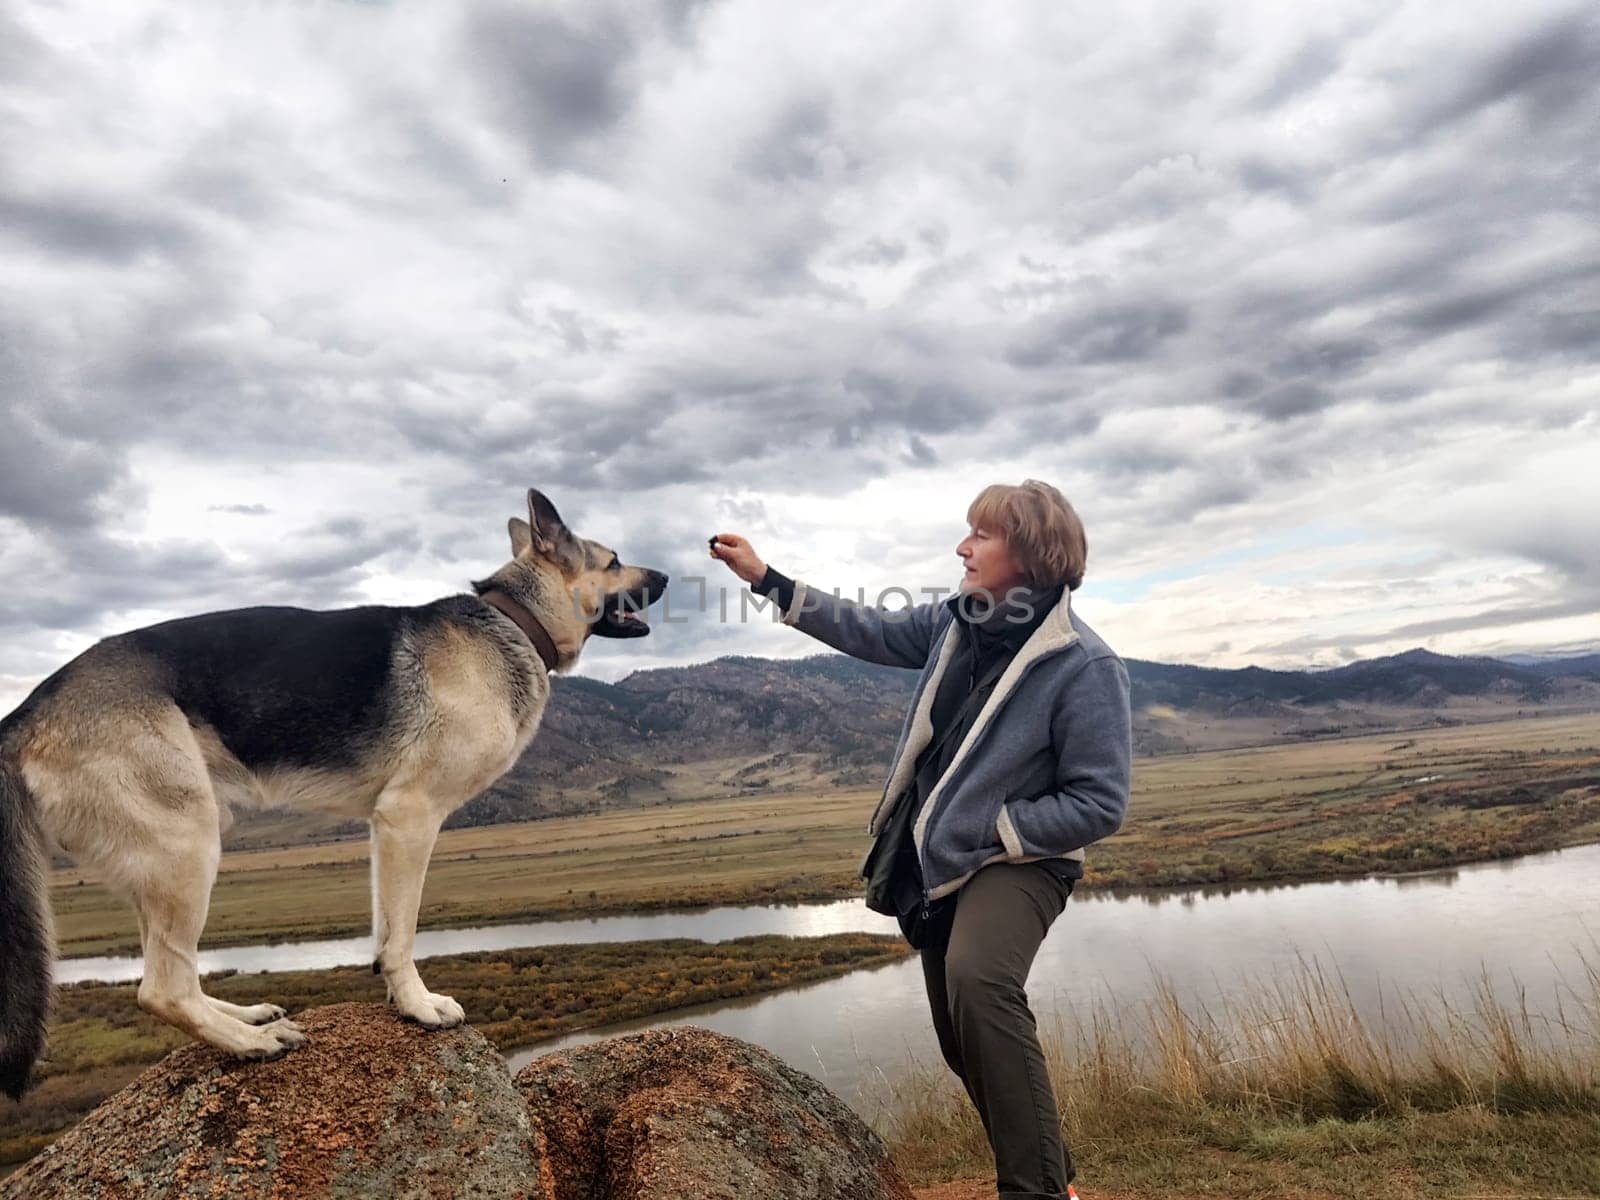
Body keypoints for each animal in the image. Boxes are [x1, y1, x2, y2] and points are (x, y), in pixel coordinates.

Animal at [0, 489, 665, 1100]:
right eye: (613, 560)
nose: (665, 575)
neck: (514, 620)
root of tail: (26, 712)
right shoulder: (410, 818)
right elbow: (403, 932)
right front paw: (418, 1007)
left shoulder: (383, 828)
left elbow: (383, 927)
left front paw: (396, 996)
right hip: (185, 845)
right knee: (162, 988)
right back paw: (249, 1042)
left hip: (167, 855)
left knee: (174, 970)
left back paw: (244, 1017)